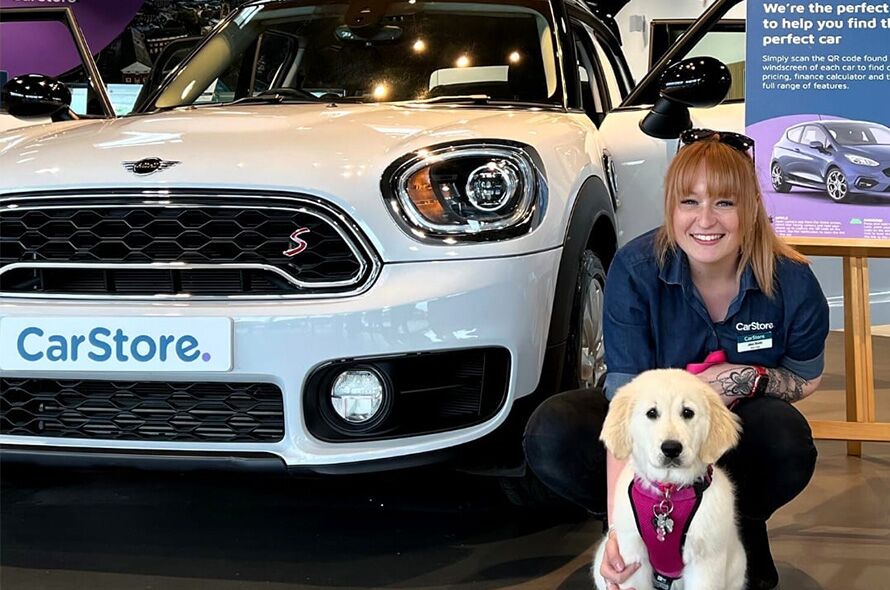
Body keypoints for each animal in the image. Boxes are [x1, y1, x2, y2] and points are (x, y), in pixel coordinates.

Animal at [592, 370, 744, 590]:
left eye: (688, 413)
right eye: (652, 413)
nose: (671, 448)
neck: (668, 492)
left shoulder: (705, 561)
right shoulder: (632, 557)